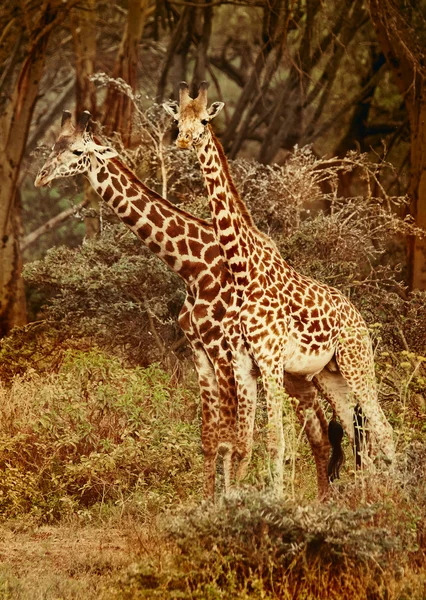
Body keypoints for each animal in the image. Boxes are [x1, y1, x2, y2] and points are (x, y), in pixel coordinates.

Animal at [164, 83, 396, 496]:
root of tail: (359, 319)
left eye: (204, 120)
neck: (244, 271)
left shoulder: (270, 361)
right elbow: (246, 442)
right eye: (178, 121)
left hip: (357, 363)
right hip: (330, 373)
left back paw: (394, 494)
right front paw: (238, 499)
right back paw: (365, 496)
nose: (183, 140)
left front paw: (273, 501)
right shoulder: (244, 362)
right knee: (358, 431)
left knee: (383, 428)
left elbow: (275, 440)